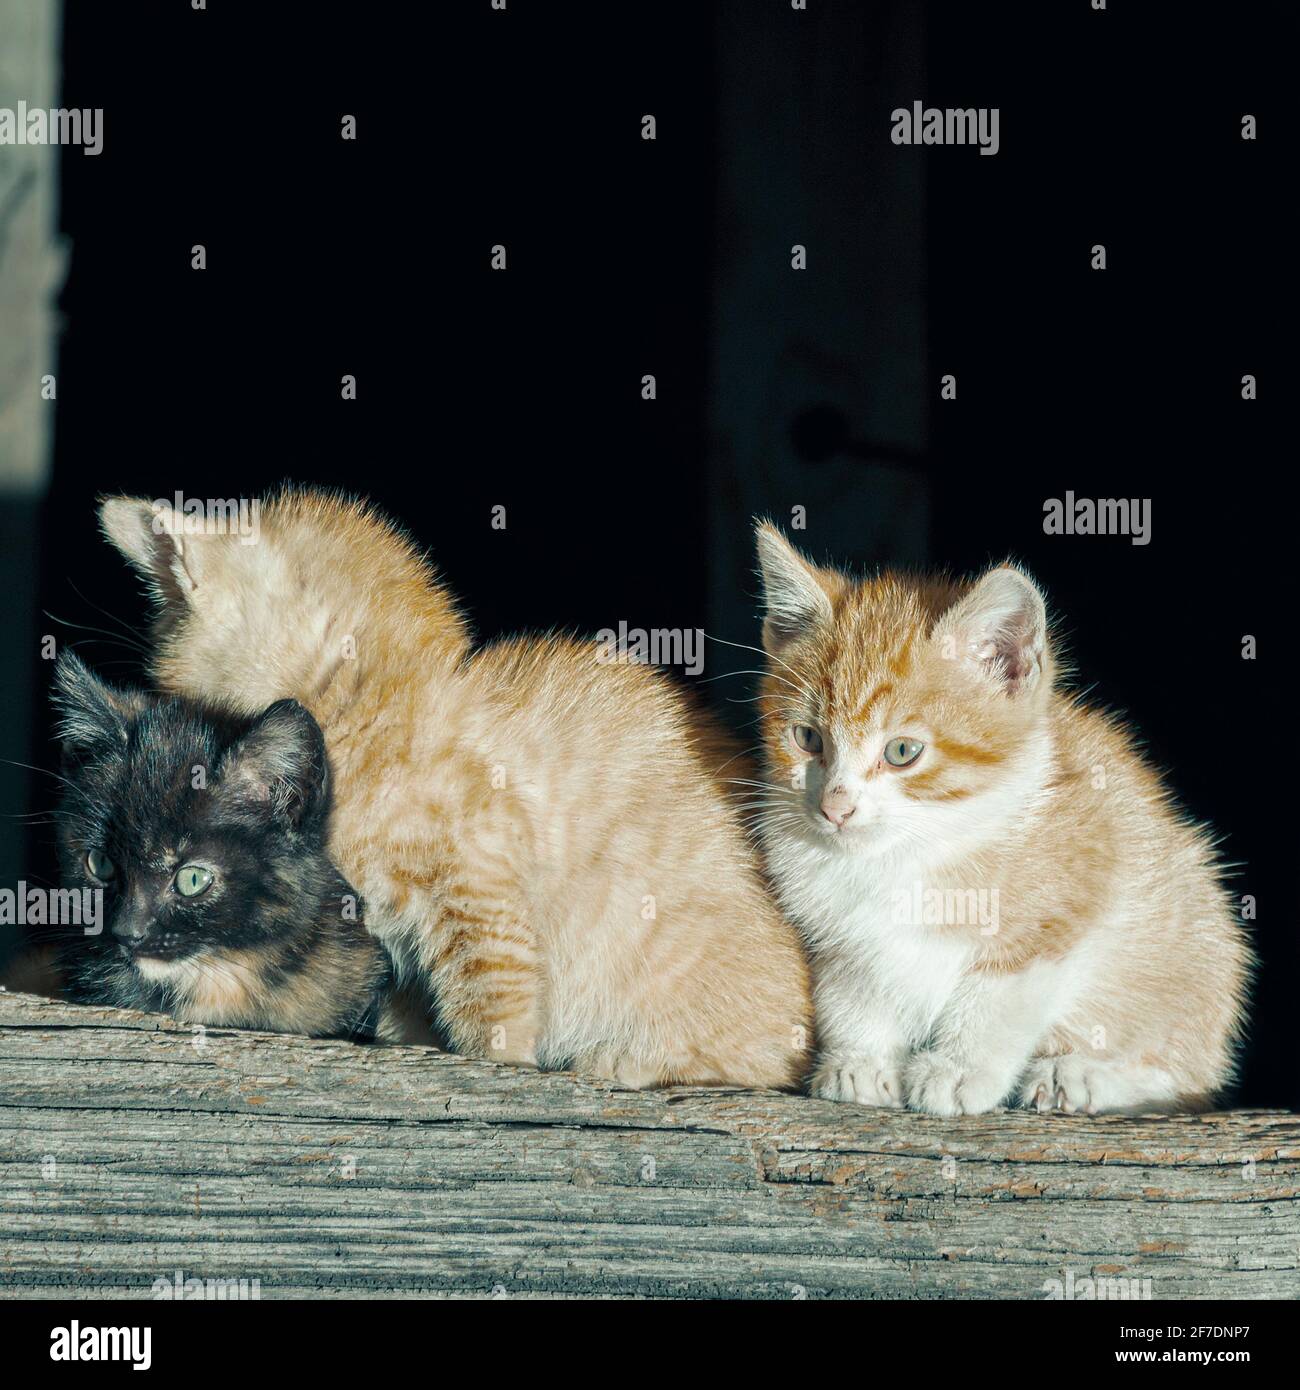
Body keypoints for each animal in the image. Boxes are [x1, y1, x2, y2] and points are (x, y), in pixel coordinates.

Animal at [99, 494, 811, 1089]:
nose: (147, 712)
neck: (381, 717)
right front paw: (407, 1038)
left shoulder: (481, 895)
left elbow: (493, 1001)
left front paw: (496, 1062)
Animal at [750, 522, 1251, 1117]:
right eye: (807, 738)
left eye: (902, 751)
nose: (835, 807)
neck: (910, 850)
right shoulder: (839, 940)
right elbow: (856, 993)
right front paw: (860, 1062)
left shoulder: (1060, 908)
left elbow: (994, 1002)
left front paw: (958, 1070)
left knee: (1184, 1073)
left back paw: (1081, 1074)